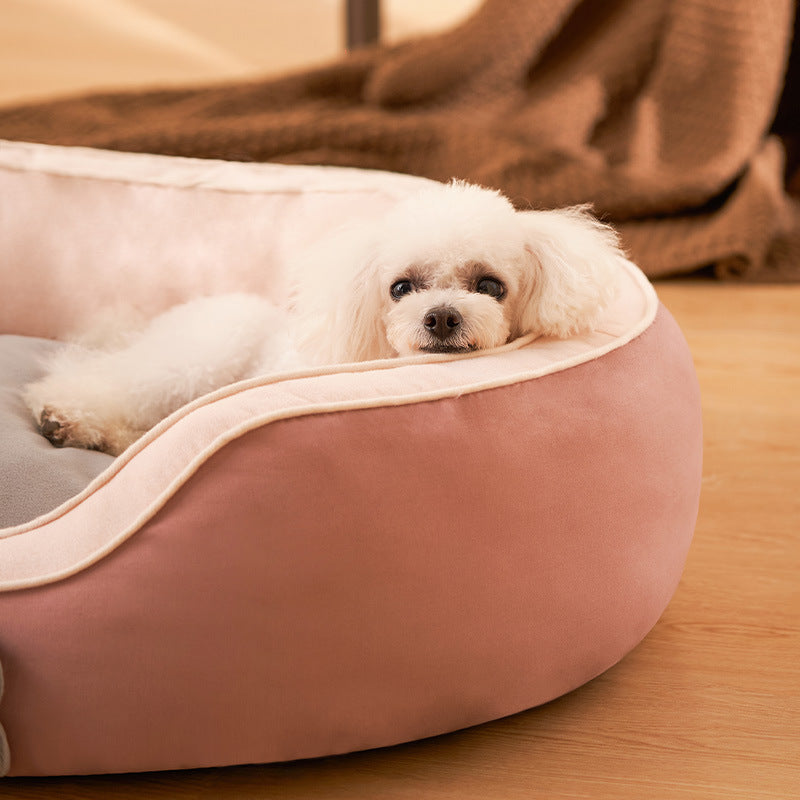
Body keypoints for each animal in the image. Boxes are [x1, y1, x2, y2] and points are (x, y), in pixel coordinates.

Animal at [23, 181, 624, 456]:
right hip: (198, 355)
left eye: (490, 287)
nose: (441, 318)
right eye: (400, 288)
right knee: (101, 381)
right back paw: (65, 415)